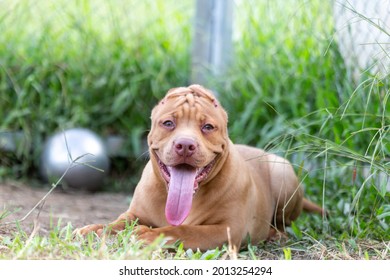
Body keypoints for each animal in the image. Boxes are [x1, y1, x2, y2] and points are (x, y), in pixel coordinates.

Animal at [75, 84, 322, 250]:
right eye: (168, 123)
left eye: (208, 127)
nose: (185, 145)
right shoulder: (135, 213)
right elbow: (117, 222)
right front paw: (96, 229)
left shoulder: (227, 230)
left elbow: (184, 230)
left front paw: (149, 236)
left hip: (282, 174)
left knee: (283, 225)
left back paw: (275, 234)